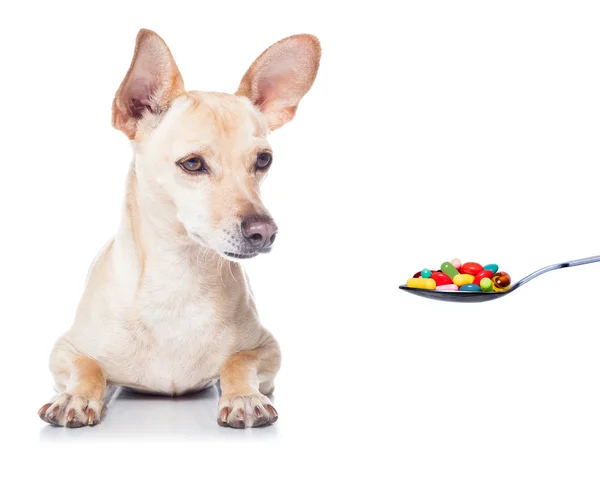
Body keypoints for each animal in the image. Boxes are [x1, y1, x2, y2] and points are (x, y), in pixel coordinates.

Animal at [37, 28, 322, 430]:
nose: (264, 231)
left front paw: (243, 396)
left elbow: (237, 361)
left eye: (263, 160)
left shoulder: (267, 349)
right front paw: (75, 396)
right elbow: (88, 366)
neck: (179, 280)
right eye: (192, 164)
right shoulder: (64, 349)